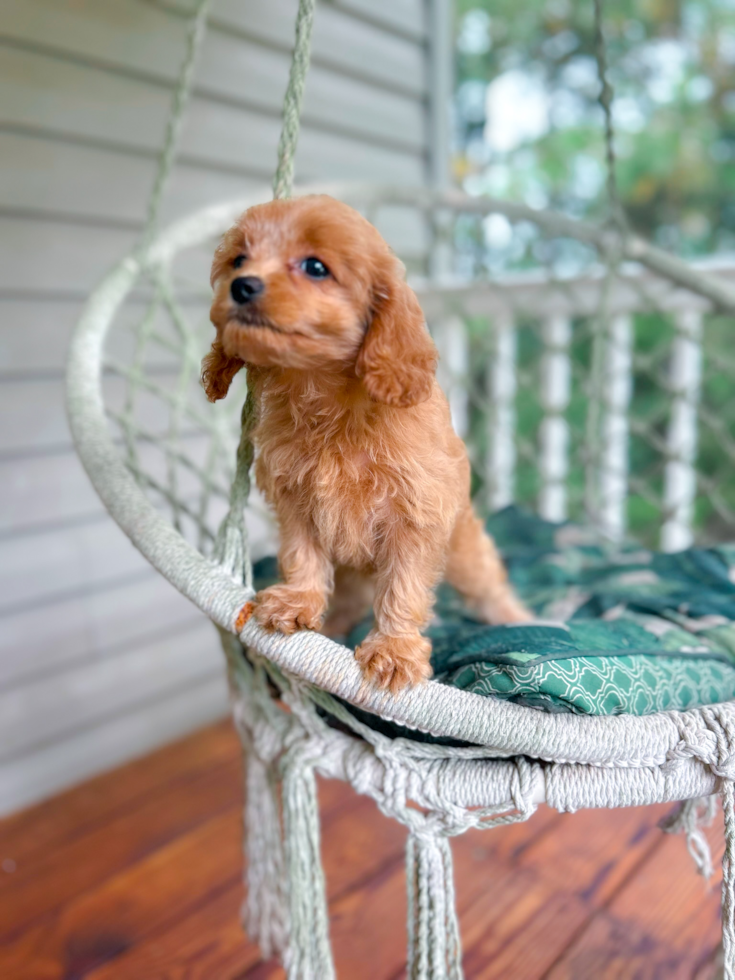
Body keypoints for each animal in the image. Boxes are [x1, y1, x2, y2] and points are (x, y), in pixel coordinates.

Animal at [204, 195, 532, 692]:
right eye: (238, 260)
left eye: (315, 267)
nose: (241, 286)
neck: (325, 400)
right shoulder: (295, 499)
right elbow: (301, 555)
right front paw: (297, 601)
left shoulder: (415, 516)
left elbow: (403, 587)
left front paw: (394, 649)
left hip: (466, 550)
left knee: (487, 589)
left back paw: (522, 620)